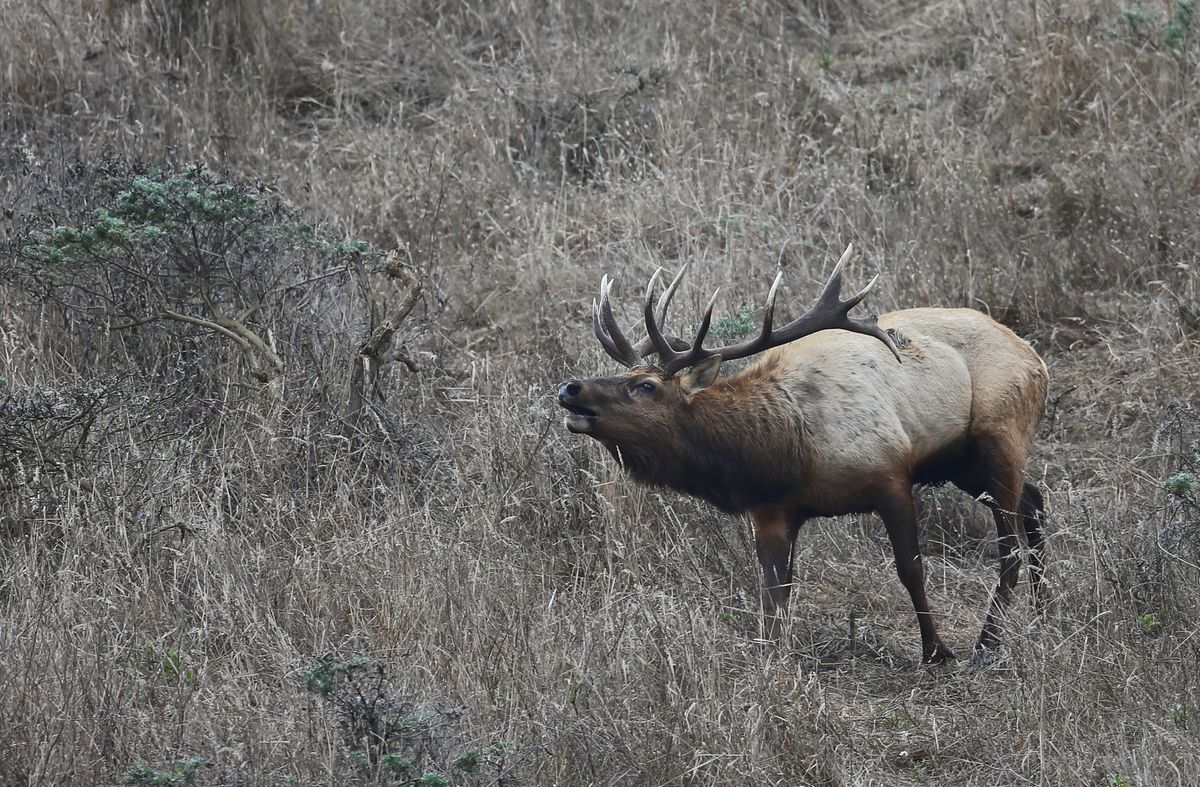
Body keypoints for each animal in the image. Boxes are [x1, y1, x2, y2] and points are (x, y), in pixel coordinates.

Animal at [557, 244, 1049, 666]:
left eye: (645, 386)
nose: (570, 387)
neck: (786, 454)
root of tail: (1035, 356)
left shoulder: (890, 474)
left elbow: (911, 569)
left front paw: (936, 652)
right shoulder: (773, 511)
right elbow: (774, 596)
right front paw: (773, 660)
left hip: (1001, 433)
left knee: (1010, 546)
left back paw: (986, 646)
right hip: (961, 462)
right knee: (1034, 503)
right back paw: (1042, 612)